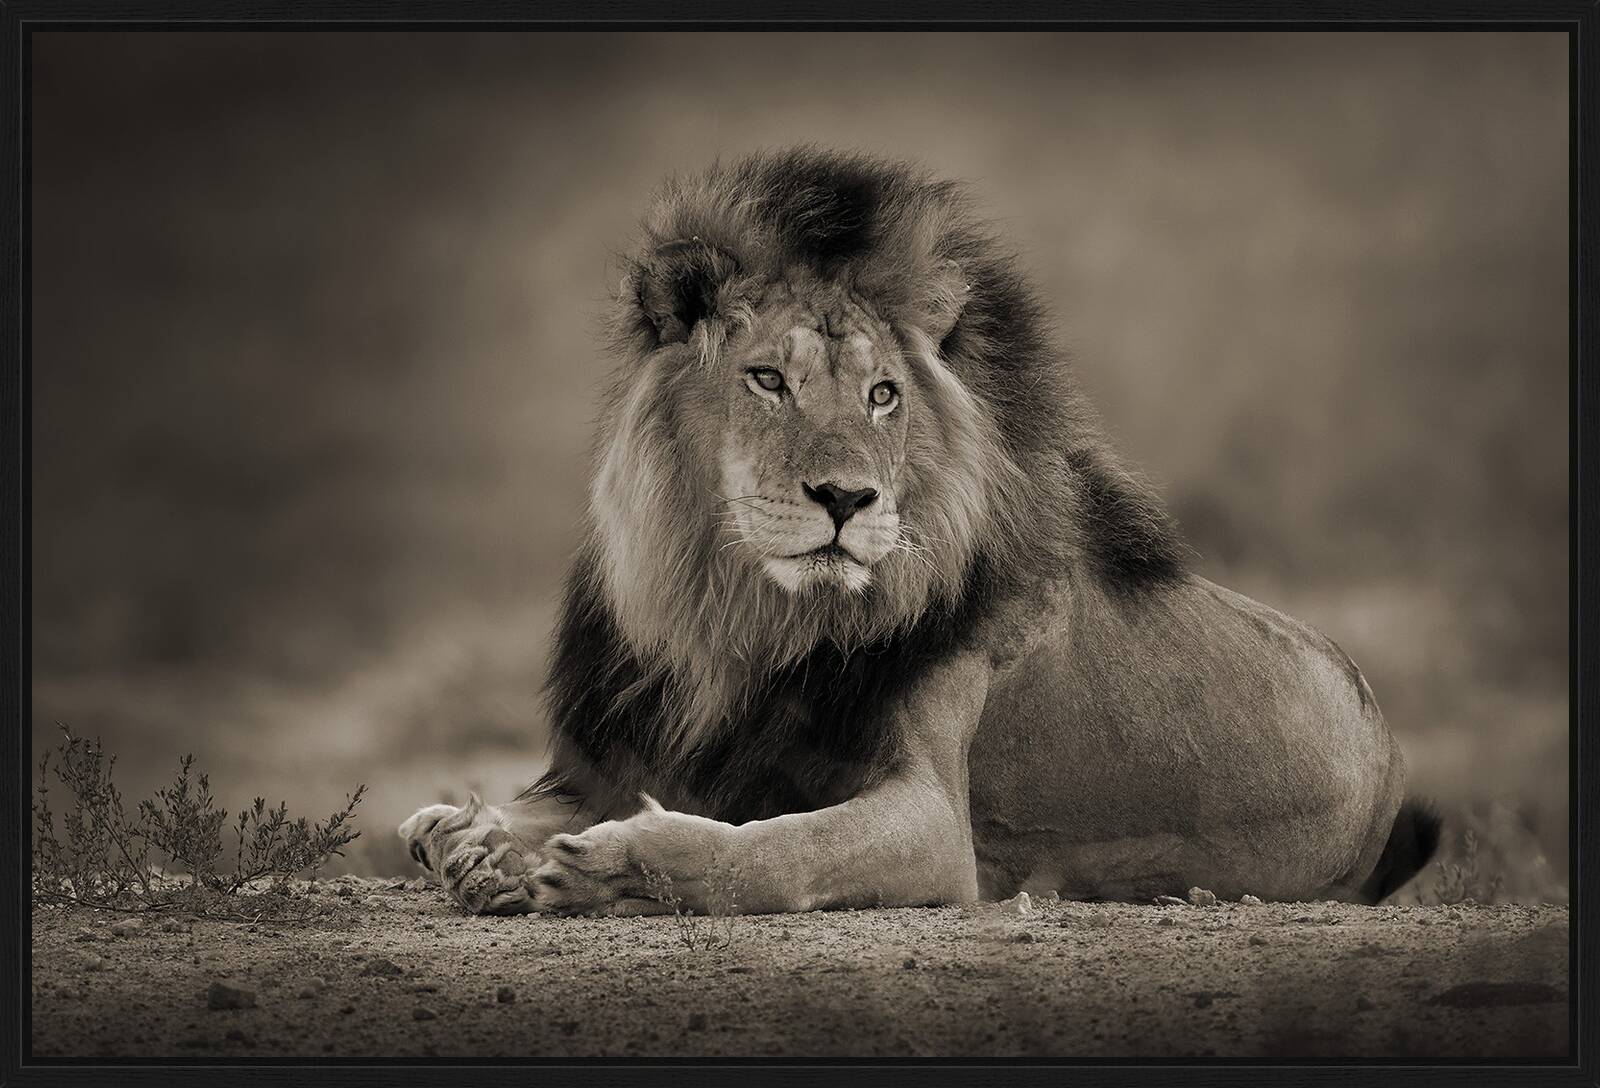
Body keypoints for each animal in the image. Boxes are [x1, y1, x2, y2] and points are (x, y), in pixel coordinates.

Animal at [399, 147, 1440, 916]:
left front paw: (612, 864)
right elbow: (482, 820)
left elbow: (769, 855)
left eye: (882, 394)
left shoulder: (937, 827)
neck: (736, 617)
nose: (846, 498)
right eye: (767, 379)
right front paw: (471, 841)